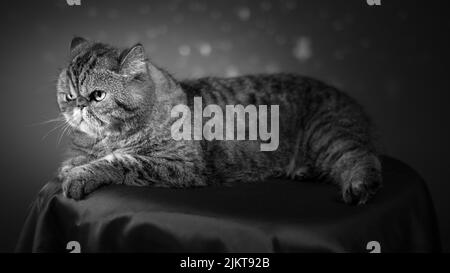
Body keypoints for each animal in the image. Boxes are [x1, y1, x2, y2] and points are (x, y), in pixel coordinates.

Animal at [54, 37, 382, 204]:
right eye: (69, 95)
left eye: (97, 95)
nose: (78, 105)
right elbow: (84, 158)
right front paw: (74, 164)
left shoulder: (180, 164)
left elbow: (118, 161)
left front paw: (81, 174)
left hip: (329, 135)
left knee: (364, 159)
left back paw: (358, 186)